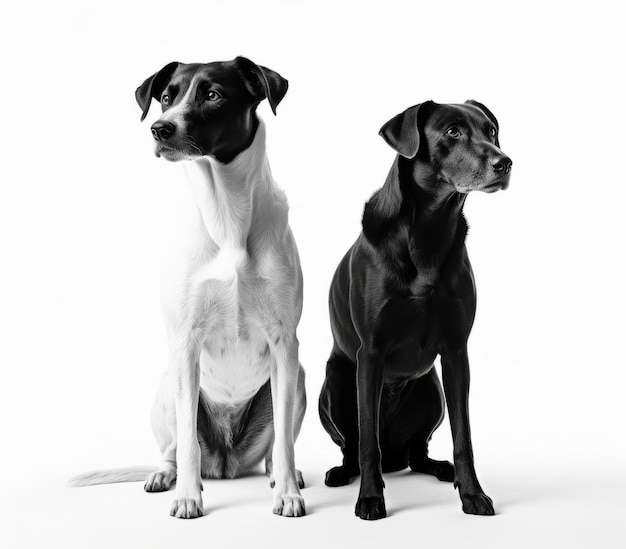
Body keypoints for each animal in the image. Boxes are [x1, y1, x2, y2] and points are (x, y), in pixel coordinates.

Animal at [70, 57, 304, 516]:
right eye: (166, 96)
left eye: (212, 94)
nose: (159, 129)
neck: (226, 214)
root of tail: (227, 463)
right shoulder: (185, 342)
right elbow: (186, 446)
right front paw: (187, 497)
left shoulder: (285, 342)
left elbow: (285, 441)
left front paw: (288, 493)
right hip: (168, 384)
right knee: (176, 447)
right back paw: (166, 475)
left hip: (297, 377)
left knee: (276, 444)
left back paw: (276, 474)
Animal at [320, 99, 510, 520]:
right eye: (453, 132)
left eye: (491, 131)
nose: (505, 162)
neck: (430, 230)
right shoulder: (370, 355)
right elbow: (367, 441)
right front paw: (370, 499)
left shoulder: (456, 354)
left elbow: (463, 435)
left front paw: (472, 493)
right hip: (336, 384)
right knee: (354, 447)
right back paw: (342, 473)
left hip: (431, 391)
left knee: (417, 452)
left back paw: (441, 468)